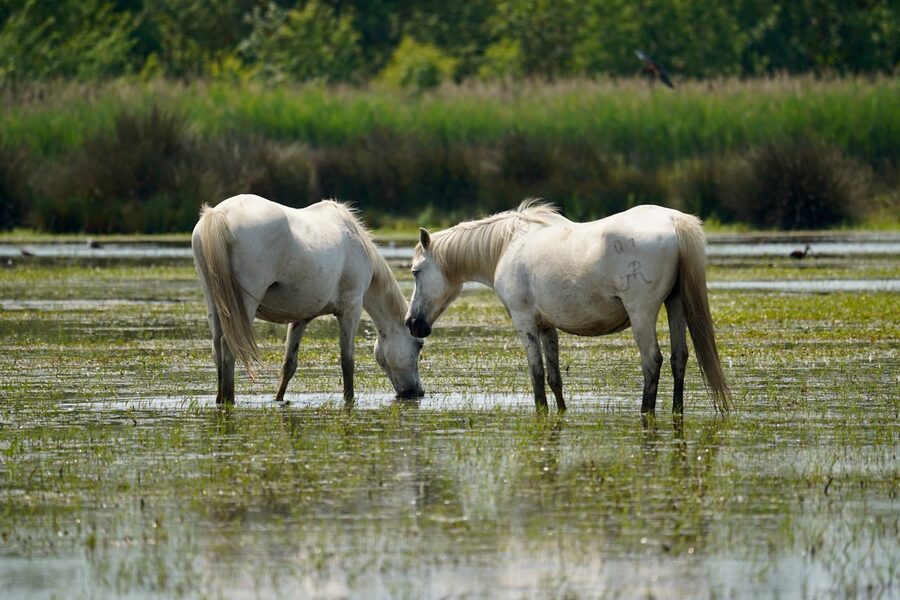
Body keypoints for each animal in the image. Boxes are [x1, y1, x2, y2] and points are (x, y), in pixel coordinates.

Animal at [192, 194, 424, 404]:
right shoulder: (351, 308)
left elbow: (289, 365)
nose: (417, 392)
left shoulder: (300, 319)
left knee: (217, 349)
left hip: (215, 305)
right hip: (243, 307)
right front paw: (349, 399)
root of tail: (219, 214)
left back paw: (220, 399)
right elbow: (347, 362)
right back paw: (228, 400)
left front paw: (279, 399)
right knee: (229, 349)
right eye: (419, 345)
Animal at [405, 201, 730, 414]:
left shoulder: (524, 321)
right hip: (675, 305)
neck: (507, 245)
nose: (411, 323)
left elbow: (536, 374)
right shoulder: (547, 325)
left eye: (416, 272)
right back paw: (676, 412)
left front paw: (542, 413)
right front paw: (560, 412)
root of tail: (674, 221)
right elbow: (554, 377)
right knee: (679, 359)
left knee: (652, 361)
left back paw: (646, 412)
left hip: (642, 313)